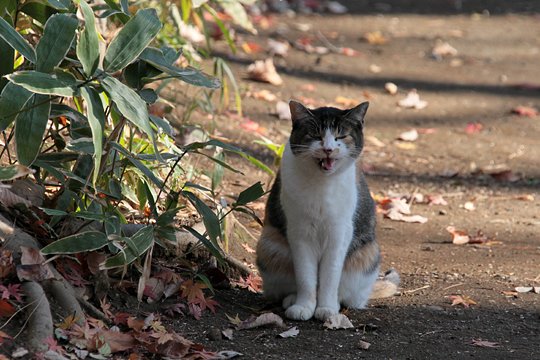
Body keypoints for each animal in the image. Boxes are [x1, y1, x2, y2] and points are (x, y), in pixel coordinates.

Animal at [255, 99, 398, 320]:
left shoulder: (339, 233)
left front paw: (327, 308)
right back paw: (291, 300)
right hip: (269, 247)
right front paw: (304, 306)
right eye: (315, 136)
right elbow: (305, 277)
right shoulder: (299, 232)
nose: (328, 149)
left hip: (367, 255)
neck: (322, 183)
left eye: (341, 136)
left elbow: (330, 277)